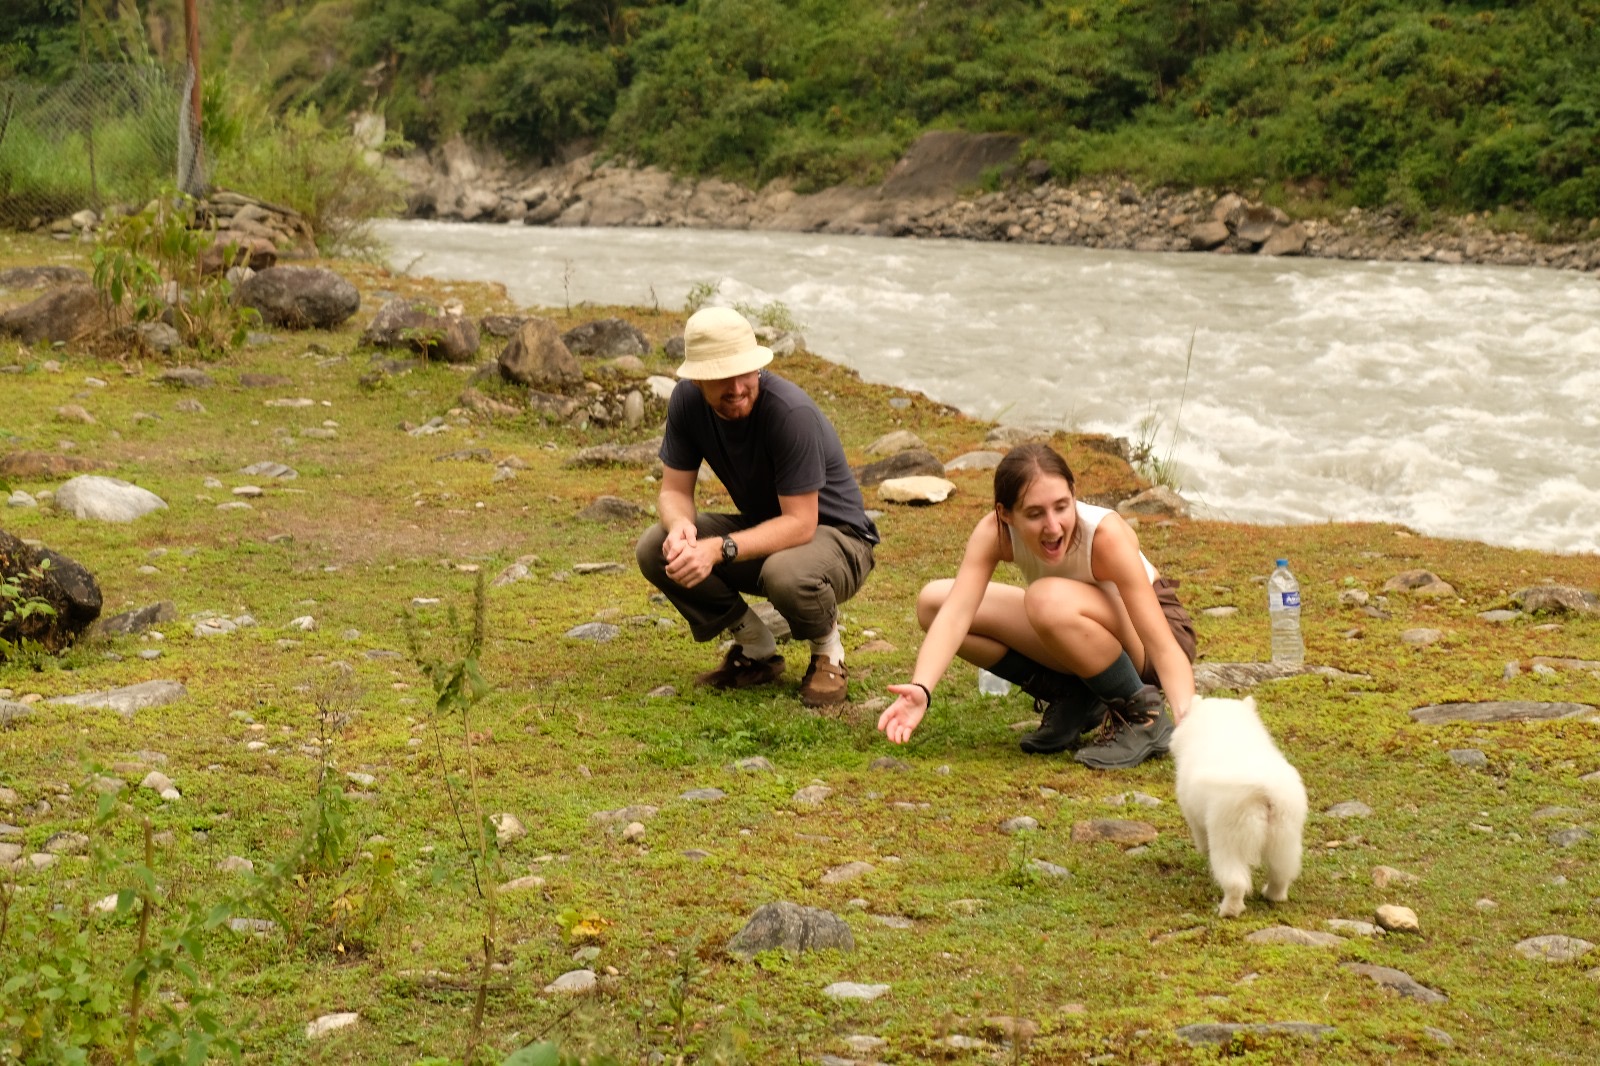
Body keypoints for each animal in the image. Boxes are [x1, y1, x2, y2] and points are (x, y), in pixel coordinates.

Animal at [1171, 695, 1307, 918]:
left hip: (1229, 836)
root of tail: (1264, 789)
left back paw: (1228, 910)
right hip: (1285, 834)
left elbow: (1200, 835)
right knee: (1282, 871)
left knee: (1235, 881)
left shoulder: (1193, 814)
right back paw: (1273, 895)